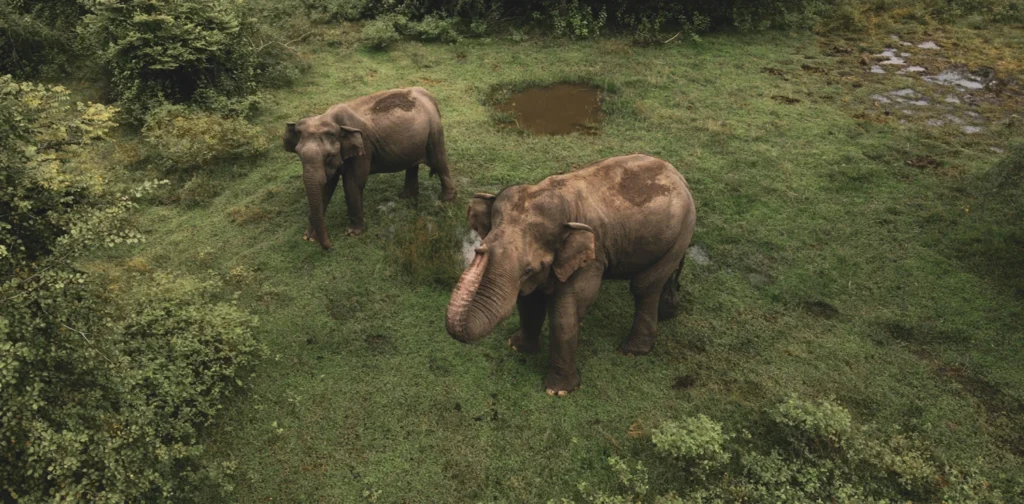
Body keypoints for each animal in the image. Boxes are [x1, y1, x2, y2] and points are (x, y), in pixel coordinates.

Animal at [283, 87, 457, 249]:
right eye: (299, 154)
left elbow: (353, 183)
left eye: (329, 156)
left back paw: (446, 200)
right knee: (413, 165)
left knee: (439, 161)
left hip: (434, 132)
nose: (330, 245)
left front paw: (352, 233)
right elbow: (326, 187)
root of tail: (428, 95)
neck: (330, 118)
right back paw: (406, 196)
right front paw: (309, 237)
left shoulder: (364, 148)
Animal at [445, 154, 696, 396]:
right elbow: (529, 302)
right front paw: (517, 346)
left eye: (529, 269)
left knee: (644, 286)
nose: (480, 251)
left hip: (682, 229)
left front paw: (558, 391)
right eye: (482, 245)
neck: (558, 196)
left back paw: (632, 351)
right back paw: (668, 313)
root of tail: (679, 176)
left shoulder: (591, 258)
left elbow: (566, 313)